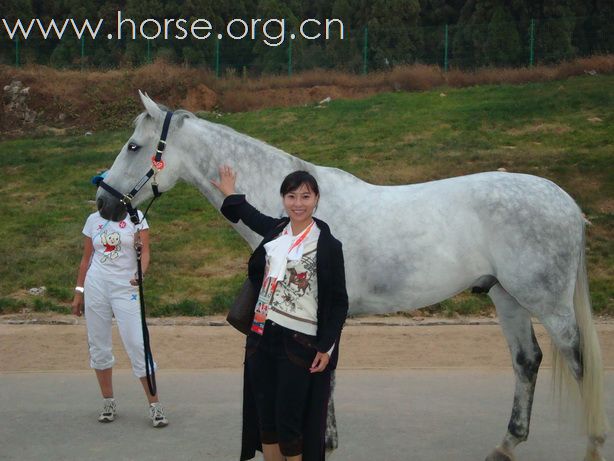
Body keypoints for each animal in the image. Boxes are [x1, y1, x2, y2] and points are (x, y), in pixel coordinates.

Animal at [97, 91, 612, 458]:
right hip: (506, 297)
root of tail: (565, 200)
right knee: (527, 361)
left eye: (134, 146)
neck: (302, 212)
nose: (105, 203)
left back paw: (591, 445)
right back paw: (505, 445)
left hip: (547, 303)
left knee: (580, 364)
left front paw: (317, 442)